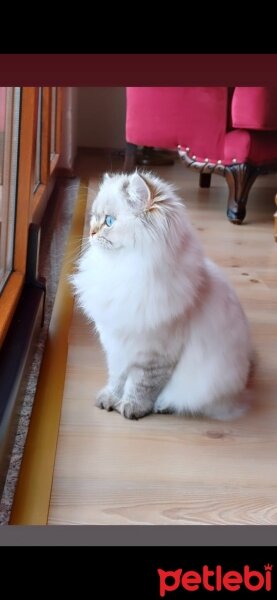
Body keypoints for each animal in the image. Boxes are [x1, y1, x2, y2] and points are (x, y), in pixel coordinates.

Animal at [72, 171, 253, 420]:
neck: (123, 269)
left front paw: (131, 408)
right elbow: (117, 379)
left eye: (109, 221)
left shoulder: (154, 354)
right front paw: (109, 399)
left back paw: (163, 406)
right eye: (94, 218)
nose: (91, 232)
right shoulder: (116, 346)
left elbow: (140, 386)